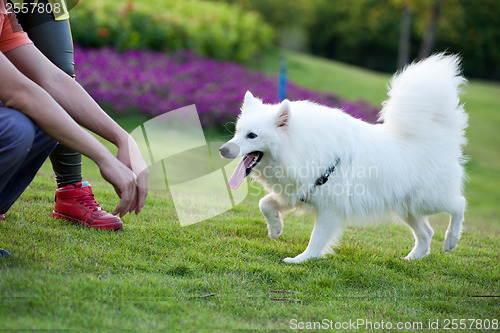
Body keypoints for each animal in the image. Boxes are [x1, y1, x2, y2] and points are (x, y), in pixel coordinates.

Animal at [221, 53, 466, 262]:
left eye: (252, 135)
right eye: (237, 132)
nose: (223, 149)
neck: (301, 146)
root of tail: (437, 134)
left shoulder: (330, 209)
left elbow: (316, 239)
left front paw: (301, 259)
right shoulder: (296, 192)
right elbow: (265, 204)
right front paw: (275, 229)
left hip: (429, 199)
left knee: (458, 205)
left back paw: (451, 241)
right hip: (408, 207)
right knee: (426, 231)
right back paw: (413, 258)